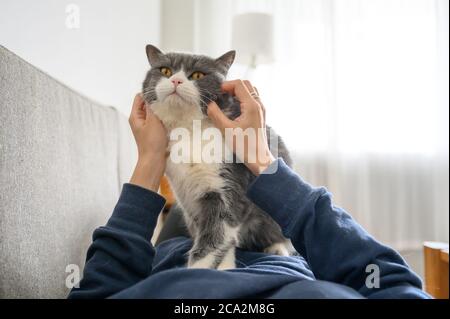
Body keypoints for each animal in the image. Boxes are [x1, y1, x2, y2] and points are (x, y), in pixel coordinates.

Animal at [142, 44, 294, 270]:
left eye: (198, 75)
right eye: (165, 70)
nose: (176, 81)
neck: (190, 130)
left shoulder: (226, 186)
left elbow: (215, 236)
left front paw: (198, 271)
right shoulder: (190, 199)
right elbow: (215, 237)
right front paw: (224, 267)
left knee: (277, 235)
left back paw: (277, 249)